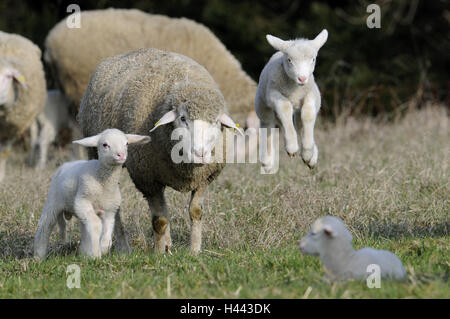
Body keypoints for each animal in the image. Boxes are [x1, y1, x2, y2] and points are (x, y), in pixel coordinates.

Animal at [32, 128, 151, 260]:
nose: (121, 155)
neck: (103, 181)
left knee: (84, 229)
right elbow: (96, 225)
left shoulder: (110, 209)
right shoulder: (82, 201)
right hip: (53, 201)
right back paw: (39, 256)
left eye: (127, 144)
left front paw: (103, 248)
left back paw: (83, 252)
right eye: (105, 144)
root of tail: (65, 164)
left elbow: (108, 228)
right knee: (44, 226)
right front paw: (95, 253)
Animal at [79, 48, 244, 255]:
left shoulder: (204, 177)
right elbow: (160, 220)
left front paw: (194, 250)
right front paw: (159, 253)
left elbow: (196, 212)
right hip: (99, 156)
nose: (200, 154)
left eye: (215, 121)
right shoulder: (148, 179)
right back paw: (124, 248)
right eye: (183, 118)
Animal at [256, 30, 326, 172]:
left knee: (298, 125)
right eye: (289, 60)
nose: (302, 78)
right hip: (262, 105)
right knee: (268, 124)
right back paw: (267, 160)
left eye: (313, 59)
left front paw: (308, 153)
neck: (295, 89)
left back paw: (311, 156)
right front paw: (292, 147)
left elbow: (308, 114)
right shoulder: (274, 94)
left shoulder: (311, 93)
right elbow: (285, 109)